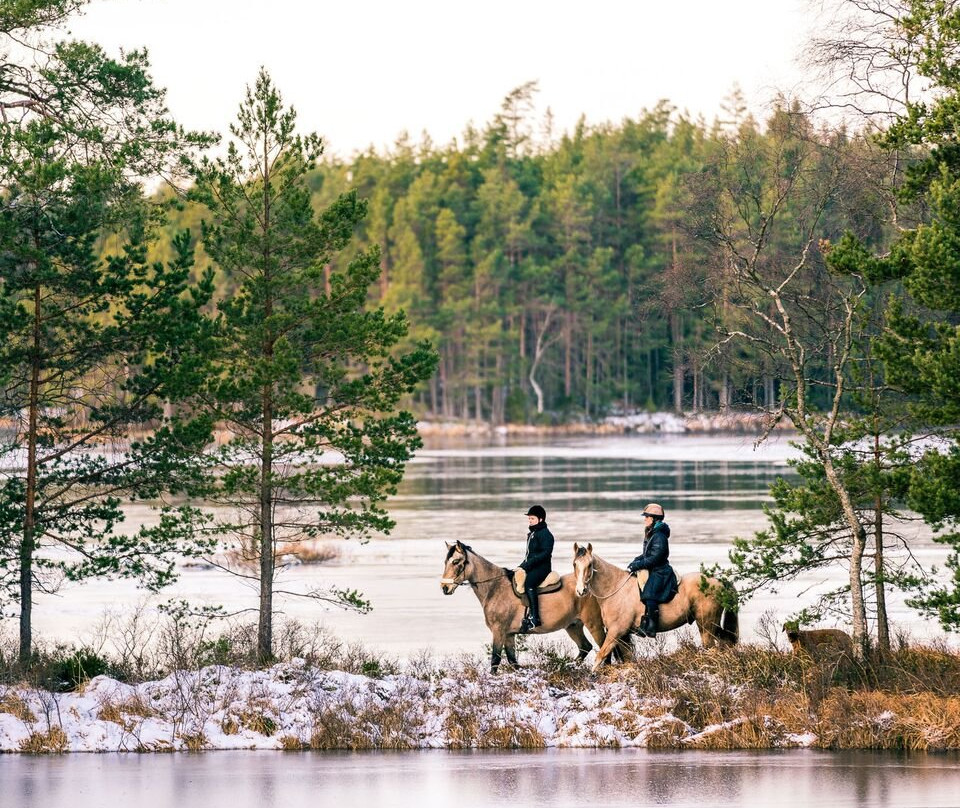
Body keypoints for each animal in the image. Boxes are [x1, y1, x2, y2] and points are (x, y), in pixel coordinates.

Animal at [436, 540, 632, 672]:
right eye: (446, 562)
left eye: (456, 562)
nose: (445, 588)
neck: (495, 588)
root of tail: (588, 587)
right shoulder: (509, 634)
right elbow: (513, 661)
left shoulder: (498, 631)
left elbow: (495, 660)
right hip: (573, 625)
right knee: (585, 647)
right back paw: (567, 665)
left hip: (594, 624)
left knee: (605, 649)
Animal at [572, 544, 740, 668]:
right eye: (574, 564)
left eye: (590, 564)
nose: (581, 591)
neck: (615, 587)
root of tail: (719, 581)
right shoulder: (623, 636)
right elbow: (627, 658)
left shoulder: (616, 632)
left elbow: (600, 656)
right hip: (710, 624)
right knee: (727, 640)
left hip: (706, 625)